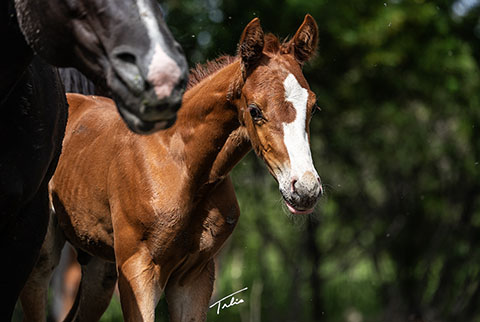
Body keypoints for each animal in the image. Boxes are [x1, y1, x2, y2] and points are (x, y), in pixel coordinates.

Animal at [22, 15, 322, 322]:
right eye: (255, 110)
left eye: (312, 107)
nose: (305, 189)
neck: (184, 167)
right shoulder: (137, 269)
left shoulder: (194, 276)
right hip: (43, 257)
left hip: (100, 271)